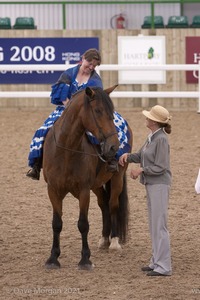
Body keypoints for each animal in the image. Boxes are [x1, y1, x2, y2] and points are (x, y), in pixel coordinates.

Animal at [42, 85, 133, 270]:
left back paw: (114, 241)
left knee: (112, 205)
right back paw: (104, 239)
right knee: (103, 205)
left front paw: (85, 259)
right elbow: (56, 223)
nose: (114, 146)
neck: (66, 151)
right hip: (97, 185)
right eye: (98, 111)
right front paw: (53, 258)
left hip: (117, 178)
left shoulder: (84, 191)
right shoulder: (53, 190)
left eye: (111, 112)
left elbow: (83, 224)